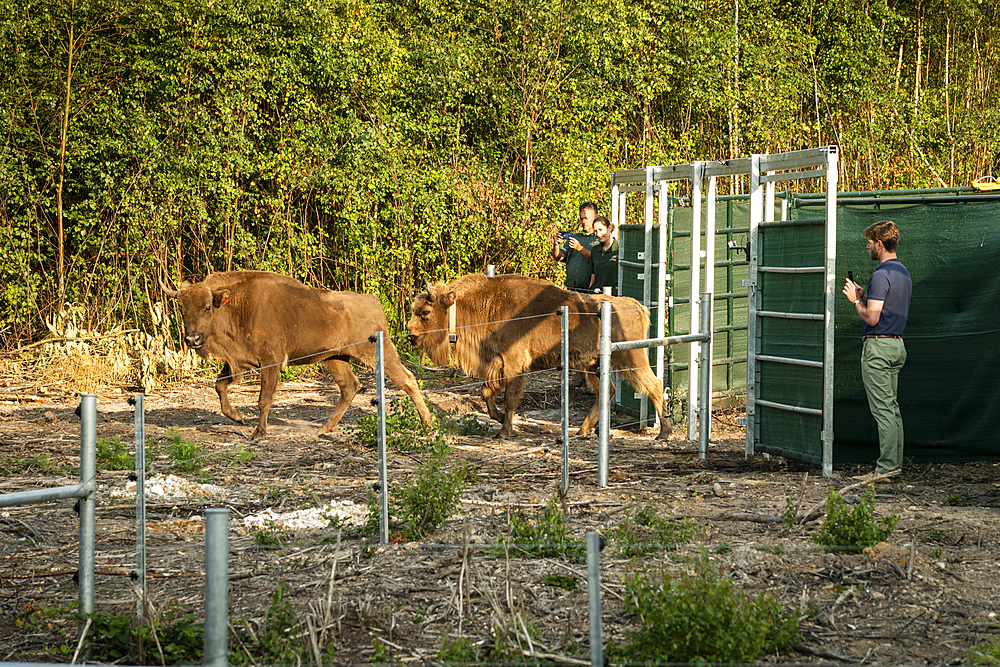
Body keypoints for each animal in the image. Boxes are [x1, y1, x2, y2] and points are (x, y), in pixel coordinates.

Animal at [160, 268, 434, 440]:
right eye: (181, 308)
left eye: (207, 307)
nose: (192, 339)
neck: (236, 306)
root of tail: (374, 303)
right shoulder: (240, 362)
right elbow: (220, 385)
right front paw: (238, 418)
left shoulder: (270, 363)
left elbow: (263, 399)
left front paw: (258, 433)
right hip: (335, 359)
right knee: (350, 386)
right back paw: (324, 428)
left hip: (376, 352)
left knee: (407, 379)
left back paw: (428, 425)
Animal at [406, 274, 672, 440]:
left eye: (425, 312)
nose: (410, 336)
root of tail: (636, 305)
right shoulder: (495, 363)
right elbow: (486, 392)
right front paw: (498, 419)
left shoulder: (514, 364)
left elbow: (509, 398)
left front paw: (504, 431)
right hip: (592, 365)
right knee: (608, 391)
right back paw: (583, 431)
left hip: (631, 358)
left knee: (654, 385)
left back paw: (664, 433)